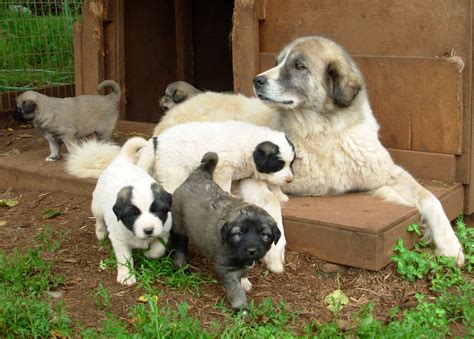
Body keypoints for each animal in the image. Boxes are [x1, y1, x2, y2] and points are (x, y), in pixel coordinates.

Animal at [91, 137, 173, 286]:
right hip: (97, 205)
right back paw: (100, 232)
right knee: (99, 219)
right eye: (133, 214)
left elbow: (158, 250)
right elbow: (124, 259)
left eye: (157, 210)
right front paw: (127, 276)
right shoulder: (119, 240)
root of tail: (121, 160)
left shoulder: (163, 232)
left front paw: (148, 253)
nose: (148, 230)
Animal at [171, 153, 280, 314]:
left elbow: (243, 272)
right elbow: (236, 290)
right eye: (238, 233)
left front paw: (245, 280)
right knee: (179, 247)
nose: (252, 250)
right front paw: (241, 308)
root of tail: (198, 174)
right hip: (179, 226)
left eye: (264, 234)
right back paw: (181, 266)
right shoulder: (226, 269)